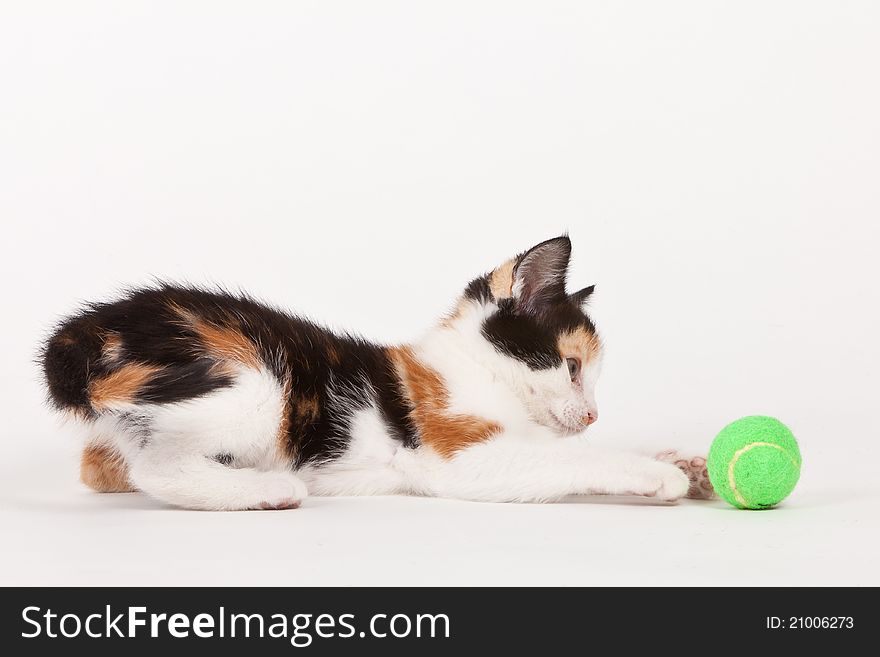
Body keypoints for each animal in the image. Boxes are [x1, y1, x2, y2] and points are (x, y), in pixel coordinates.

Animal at [43, 237, 716, 512]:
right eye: (573, 367)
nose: (594, 413)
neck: (475, 369)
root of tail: (87, 331)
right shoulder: (458, 454)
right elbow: (571, 459)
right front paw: (656, 475)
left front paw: (685, 461)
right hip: (255, 384)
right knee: (155, 468)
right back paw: (268, 490)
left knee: (103, 467)